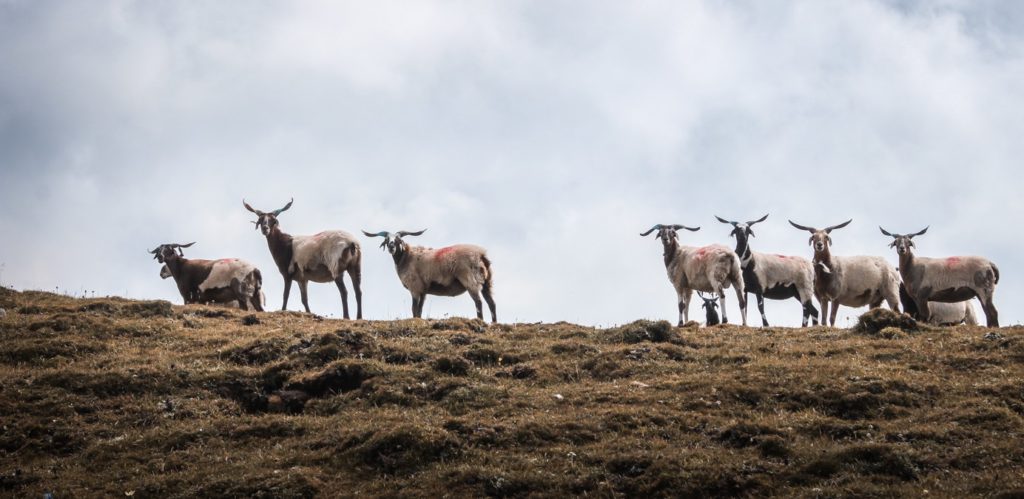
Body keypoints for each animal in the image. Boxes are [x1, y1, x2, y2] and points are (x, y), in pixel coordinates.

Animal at [364, 230, 499, 323]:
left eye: (398, 240)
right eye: (387, 240)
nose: (391, 246)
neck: (406, 257)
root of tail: (481, 254)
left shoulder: (415, 288)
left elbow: (414, 309)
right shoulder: (423, 291)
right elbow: (419, 310)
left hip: (470, 280)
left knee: (478, 302)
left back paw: (480, 321)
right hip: (487, 282)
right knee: (492, 303)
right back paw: (494, 323)